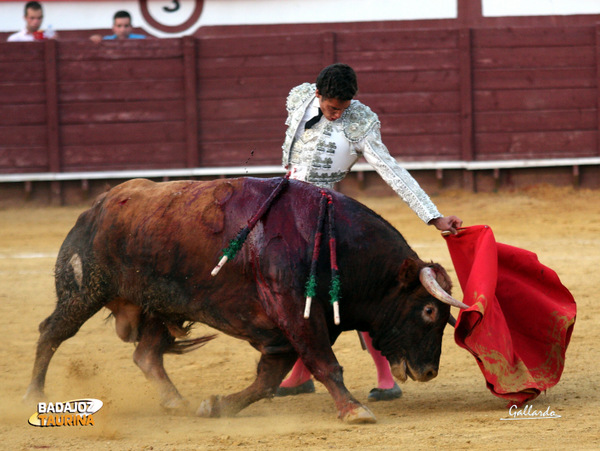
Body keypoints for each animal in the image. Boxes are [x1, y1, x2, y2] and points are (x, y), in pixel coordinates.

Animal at [23, 177, 466, 424]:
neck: (331, 241)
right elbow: (325, 364)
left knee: (146, 355)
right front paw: (354, 411)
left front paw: (216, 406)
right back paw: (33, 396)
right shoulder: (297, 315)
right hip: (84, 292)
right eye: (429, 311)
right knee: (50, 332)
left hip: (154, 305)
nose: (429, 371)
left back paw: (176, 402)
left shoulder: (286, 330)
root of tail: (95, 208)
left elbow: (267, 380)